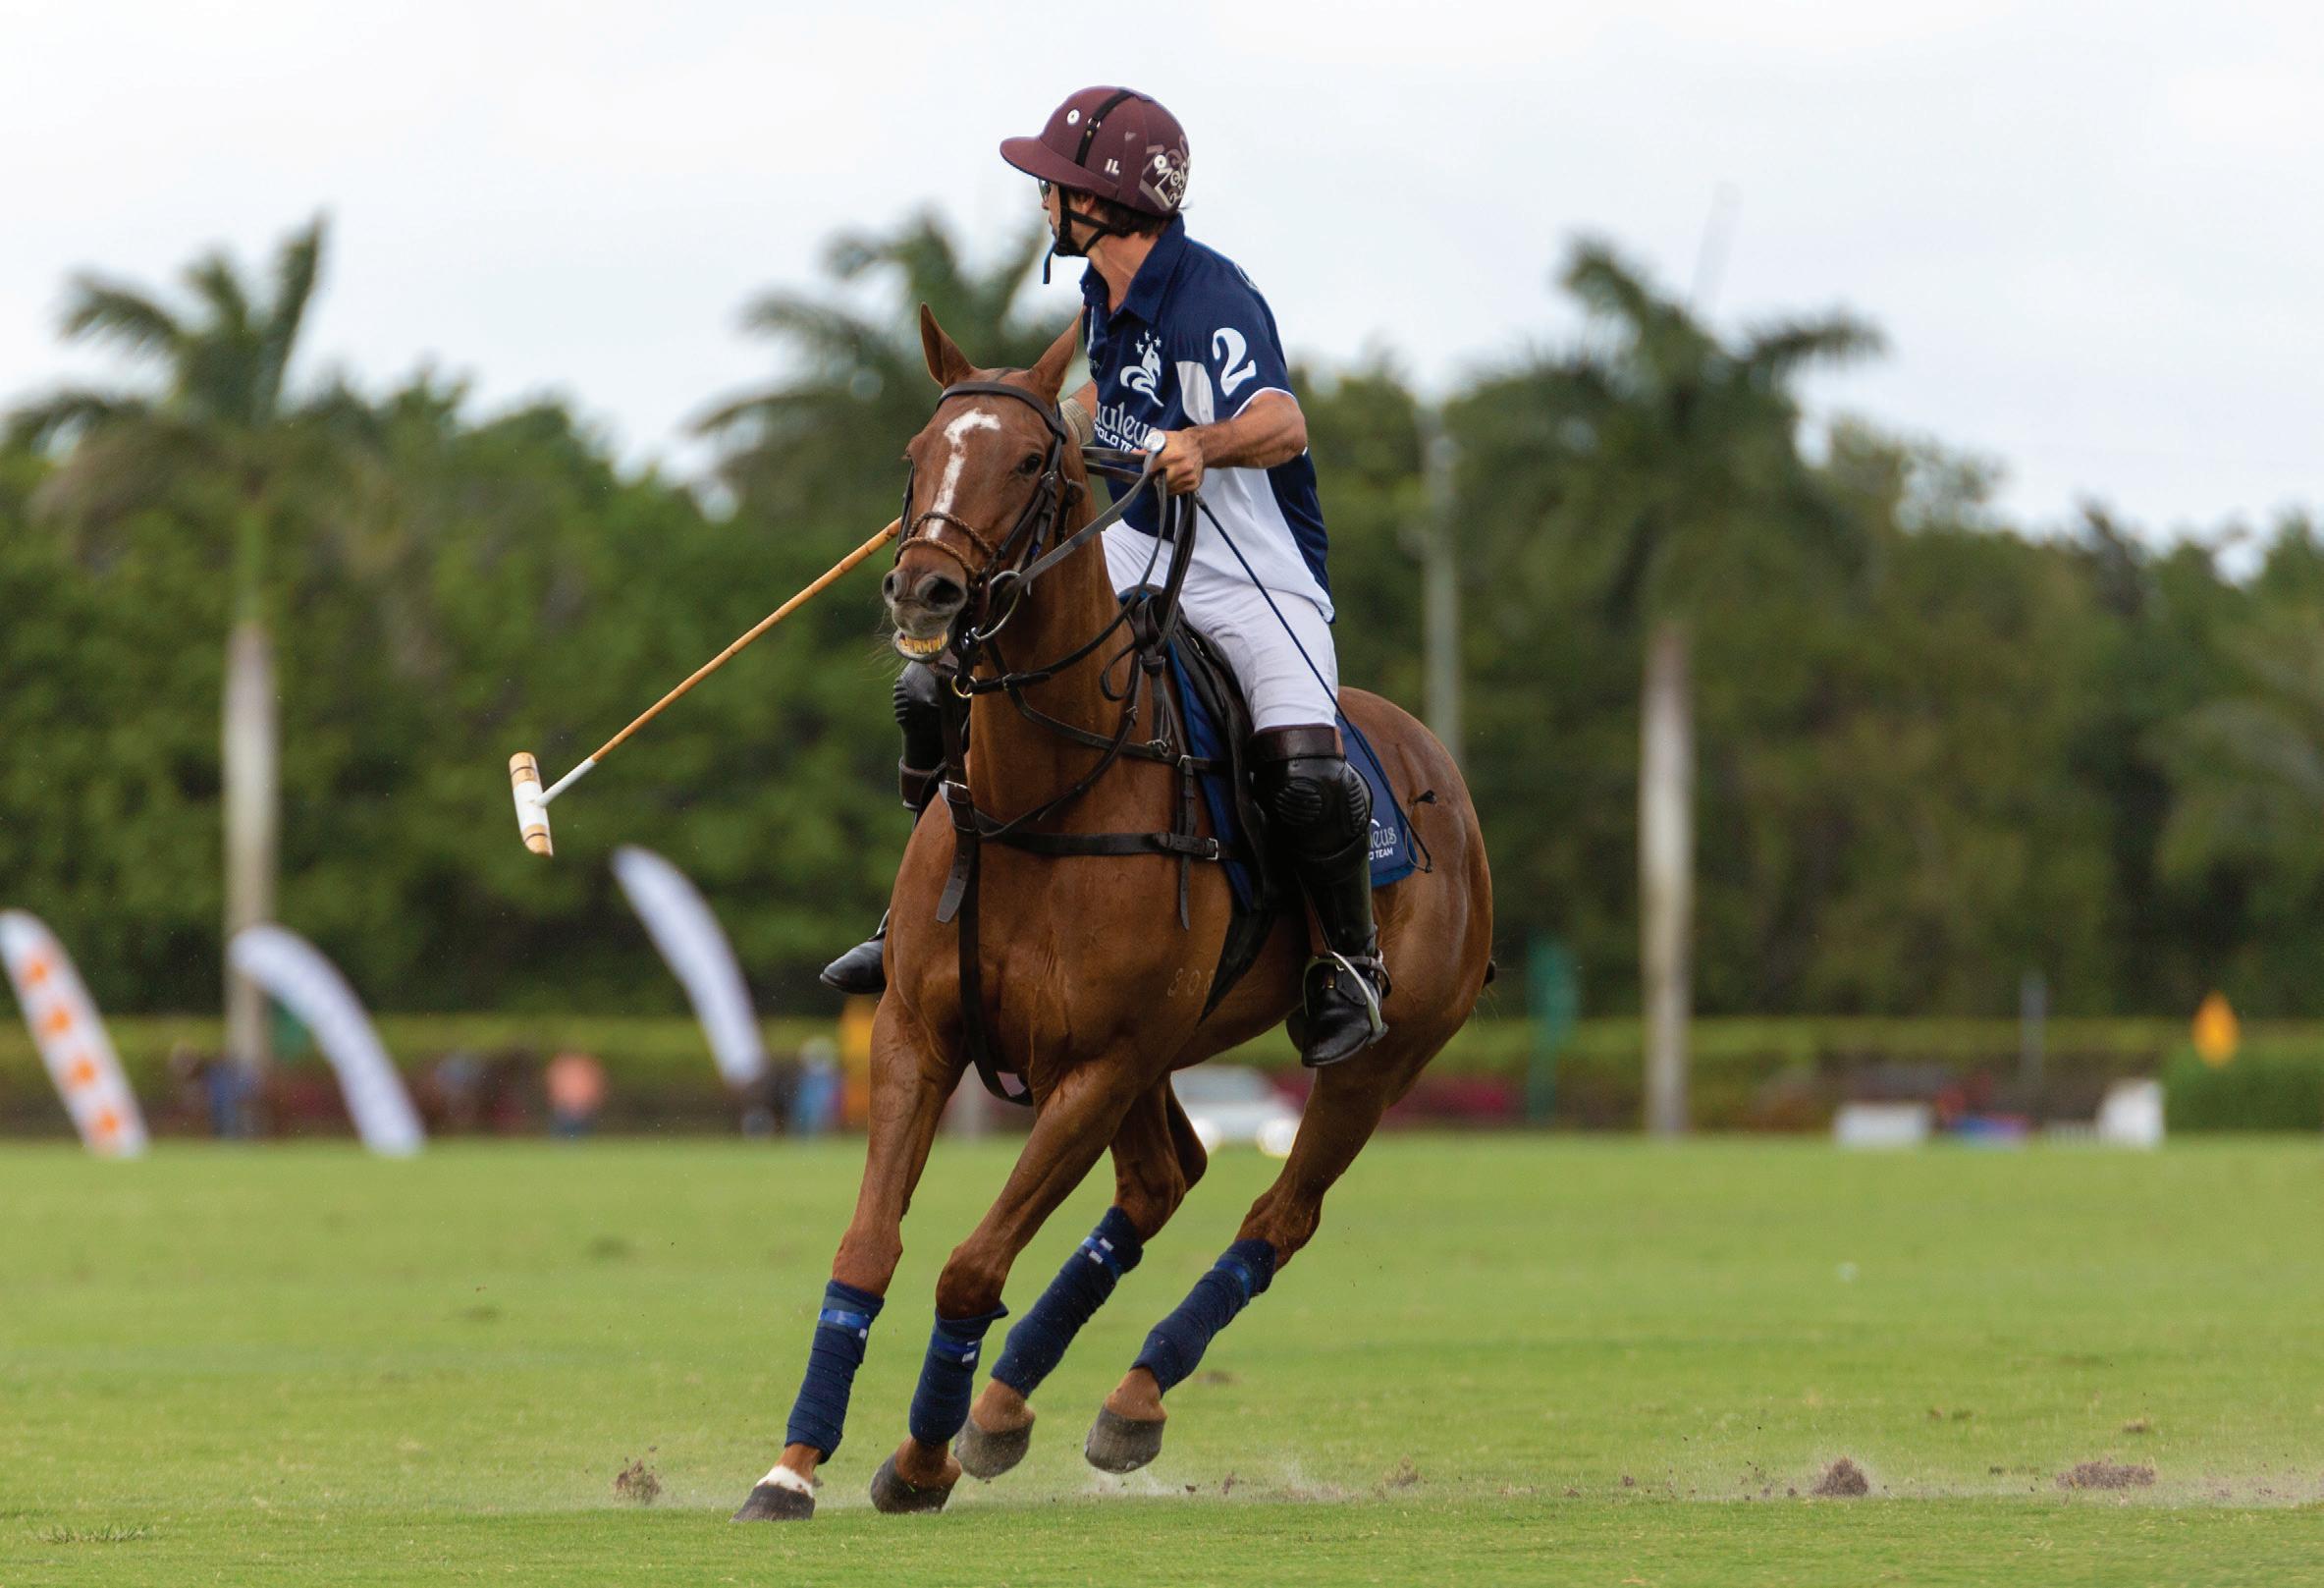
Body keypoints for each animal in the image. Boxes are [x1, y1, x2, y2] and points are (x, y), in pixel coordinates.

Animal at [732, 308, 1494, 1522]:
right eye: (918, 452)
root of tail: (1436, 765)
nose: (922, 594)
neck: (1040, 797)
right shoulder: (920, 1033)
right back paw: (1005, 1409)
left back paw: (1128, 1400)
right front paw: (795, 1465)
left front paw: (919, 1458)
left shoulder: (1093, 1062)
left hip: (1372, 1056)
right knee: (1161, 1179)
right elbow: (867, 1246)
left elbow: (971, 1262)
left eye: (1029, 462)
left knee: (1278, 1213)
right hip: (1154, 1050)